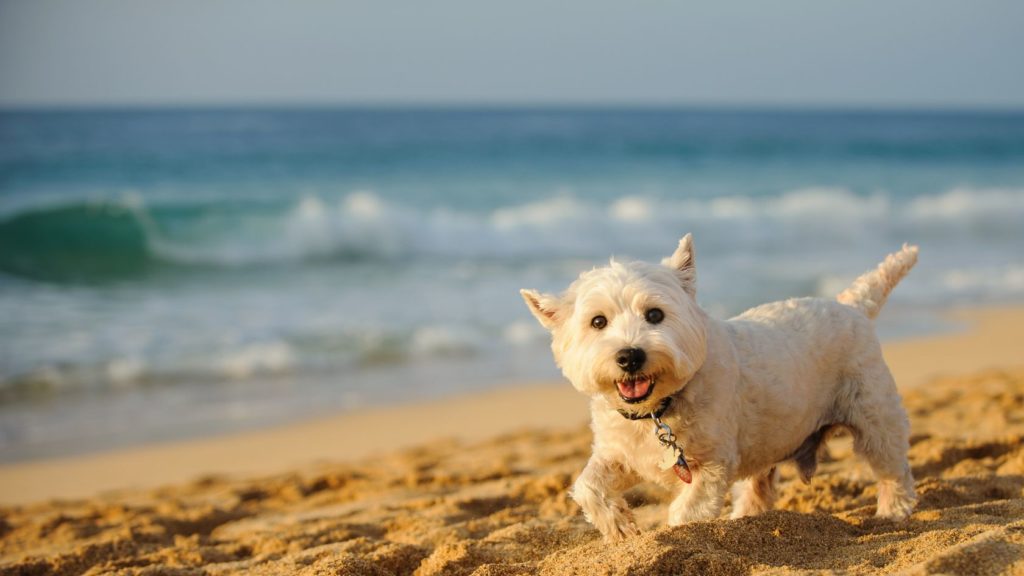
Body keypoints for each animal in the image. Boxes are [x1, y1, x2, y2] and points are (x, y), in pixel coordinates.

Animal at [524, 233, 917, 537]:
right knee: (758, 487)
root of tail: (853, 307)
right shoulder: (621, 454)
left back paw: (892, 512)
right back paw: (744, 519)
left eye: (655, 314)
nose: (630, 356)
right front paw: (619, 527)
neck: (658, 410)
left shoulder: (712, 465)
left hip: (873, 414)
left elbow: (686, 512)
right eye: (598, 322)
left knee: (891, 466)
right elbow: (587, 486)